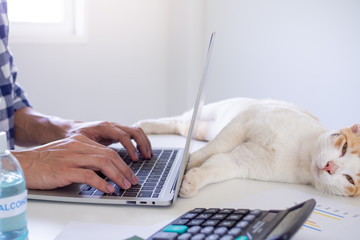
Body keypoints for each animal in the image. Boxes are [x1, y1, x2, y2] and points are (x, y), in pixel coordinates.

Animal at [133, 97, 360, 197]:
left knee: (180, 126)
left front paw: (190, 180)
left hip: (200, 129)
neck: (302, 155)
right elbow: (215, 147)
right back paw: (142, 126)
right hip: (207, 112)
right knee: (177, 118)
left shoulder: (238, 163)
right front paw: (190, 161)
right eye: (344, 148)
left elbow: (213, 167)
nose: (330, 167)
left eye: (350, 179)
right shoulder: (245, 121)